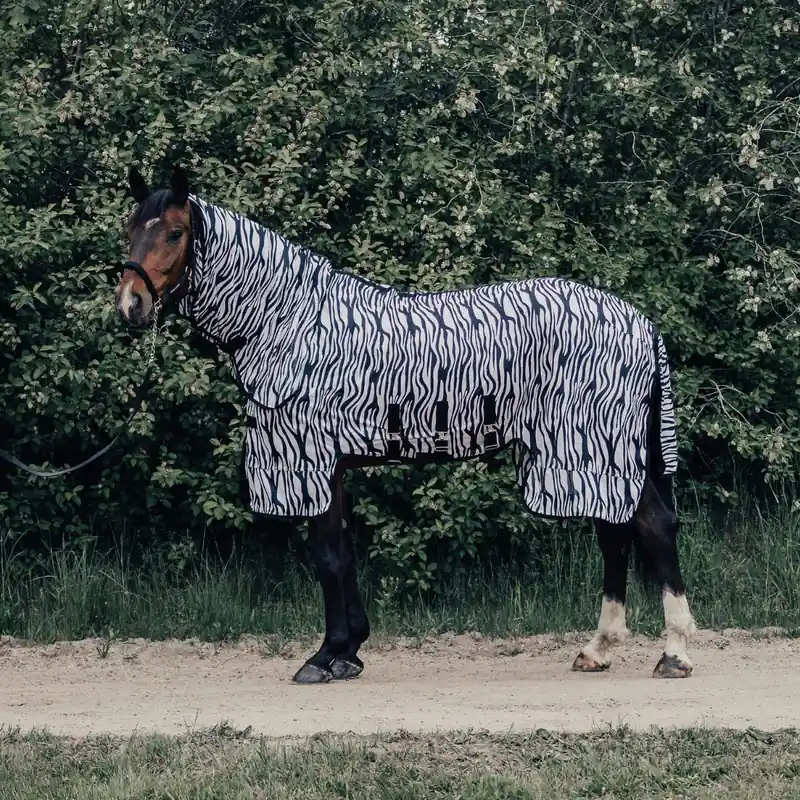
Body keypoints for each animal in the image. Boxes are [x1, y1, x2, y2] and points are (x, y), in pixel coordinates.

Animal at [116, 165, 696, 684]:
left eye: (174, 233)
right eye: (130, 228)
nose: (130, 305)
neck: (291, 318)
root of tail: (641, 323)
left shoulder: (312, 456)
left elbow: (327, 557)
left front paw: (324, 657)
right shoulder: (334, 465)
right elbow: (344, 552)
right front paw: (349, 651)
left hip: (593, 448)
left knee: (651, 527)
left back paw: (674, 654)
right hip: (596, 456)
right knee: (616, 535)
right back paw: (599, 650)